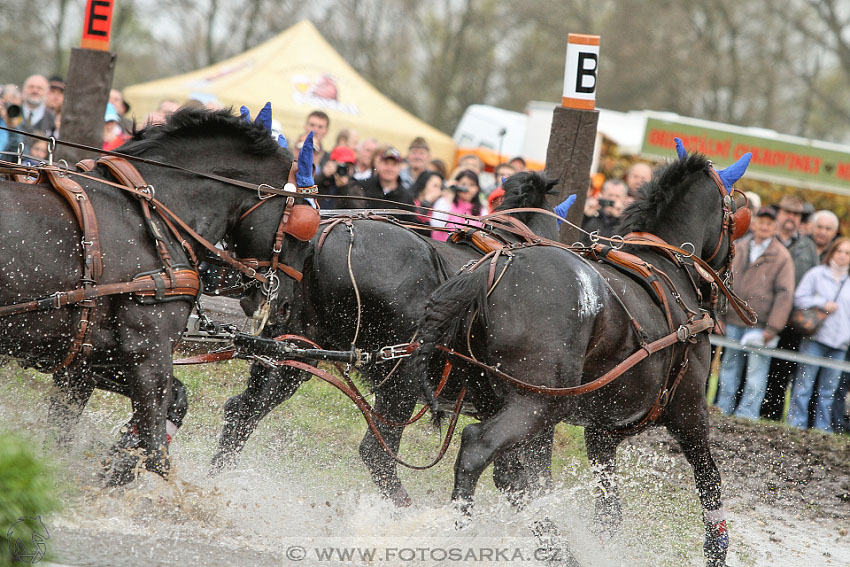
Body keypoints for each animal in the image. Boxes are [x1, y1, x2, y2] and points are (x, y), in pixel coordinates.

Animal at [0, 108, 308, 486]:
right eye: (302, 227)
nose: (286, 305)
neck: (152, 216)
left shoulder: (88, 357)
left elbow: (67, 428)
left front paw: (110, 466)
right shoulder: (148, 349)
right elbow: (158, 446)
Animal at [210, 172, 564, 506]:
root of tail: (318, 240)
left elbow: (519, 477)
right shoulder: (536, 408)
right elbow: (534, 479)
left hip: (291, 353)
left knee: (242, 411)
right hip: (401, 375)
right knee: (377, 453)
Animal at [410, 151, 748, 567]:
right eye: (737, 214)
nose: (729, 270)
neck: (666, 268)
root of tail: (491, 267)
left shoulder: (602, 430)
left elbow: (607, 509)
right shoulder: (689, 410)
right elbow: (709, 479)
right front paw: (717, 548)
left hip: (504, 399)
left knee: (512, 475)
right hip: (539, 403)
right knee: (478, 449)